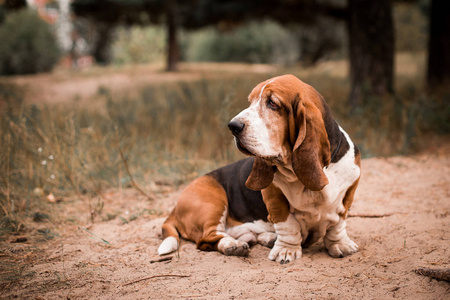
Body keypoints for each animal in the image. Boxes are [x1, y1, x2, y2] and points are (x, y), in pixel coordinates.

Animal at [158, 74, 362, 262]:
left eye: (272, 103)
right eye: (250, 102)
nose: (232, 126)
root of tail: (175, 207)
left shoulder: (349, 193)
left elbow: (338, 225)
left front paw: (339, 244)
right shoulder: (274, 199)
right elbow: (288, 225)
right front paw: (286, 250)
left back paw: (265, 238)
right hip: (212, 202)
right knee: (207, 238)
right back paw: (233, 245)